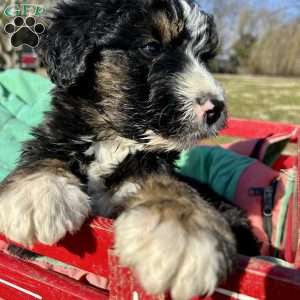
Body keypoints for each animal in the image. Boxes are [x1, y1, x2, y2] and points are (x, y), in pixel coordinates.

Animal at [0, 1, 258, 298]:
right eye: (151, 47)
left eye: (205, 57)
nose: (216, 108)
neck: (116, 139)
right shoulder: (61, 134)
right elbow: (45, 153)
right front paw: (37, 194)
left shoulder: (148, 166)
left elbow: (167, 183)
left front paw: (181, 229)